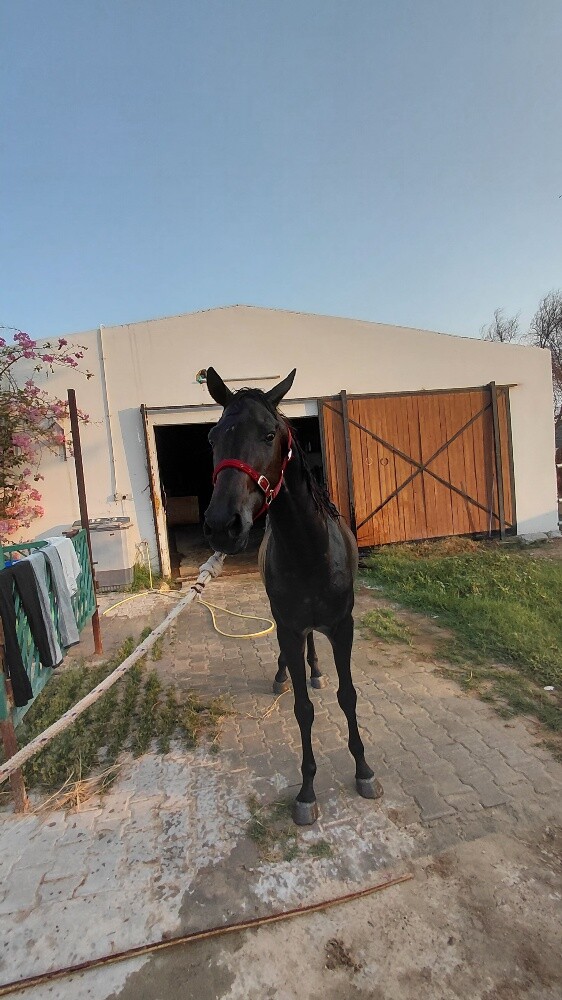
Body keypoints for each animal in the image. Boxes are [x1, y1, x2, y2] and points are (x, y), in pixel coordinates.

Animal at [203, 368, 383, 825]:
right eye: (213, 437)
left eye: (269, 434)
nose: (222, 525)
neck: (309, 550)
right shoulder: (287, 624)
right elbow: (304, 709)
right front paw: (306, 791)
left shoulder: (342, 626)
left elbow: (348, 696)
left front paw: (364, 770)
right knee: (293, 653)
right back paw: (284, 673)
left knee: (313, 648)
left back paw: (315, 669)